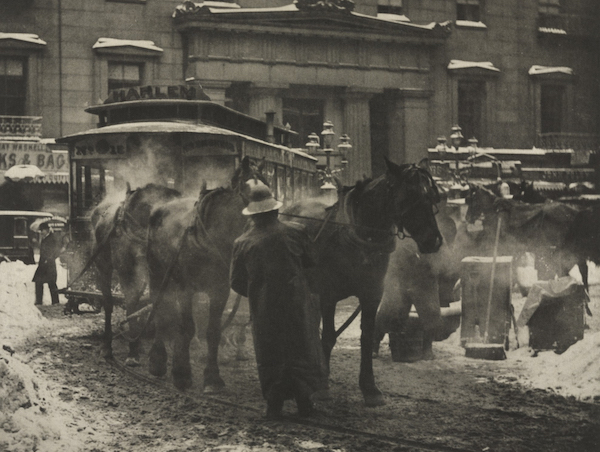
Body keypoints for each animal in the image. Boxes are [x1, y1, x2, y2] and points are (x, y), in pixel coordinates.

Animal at [90, 182, 182, 362]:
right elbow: (131, 303)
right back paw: (107, 345)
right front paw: (132, 352)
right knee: (108, 302)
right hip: (103, 265)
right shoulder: (128, 271)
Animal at [144, 155, 264, 392]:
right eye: (251, 192)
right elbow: (187, 328)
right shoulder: (185, 289)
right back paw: (158, 360)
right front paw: (181, 374)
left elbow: (212, 331)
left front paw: (212, 377)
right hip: (157, 274)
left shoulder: (219, 290)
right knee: (160, 311)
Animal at [280, 159, 440, 406]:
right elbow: (328, 336)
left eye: (431, 195)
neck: (361, 239)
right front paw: (323, 386)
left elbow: (366, 337)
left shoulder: (371, 295)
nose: (434, 241)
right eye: (410, 195)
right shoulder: (329, 295)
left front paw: (369, 387)